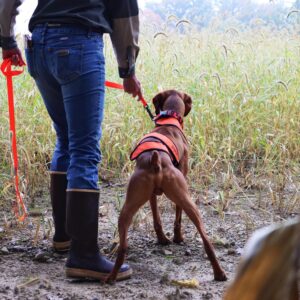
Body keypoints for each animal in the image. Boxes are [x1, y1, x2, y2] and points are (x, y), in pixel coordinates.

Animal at [106, 90, 226, 282]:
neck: (169, 120)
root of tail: (155, 160)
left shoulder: (151, 195)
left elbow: (157, 218)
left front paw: (162, 239)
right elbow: (177, 217)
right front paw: (177, 238)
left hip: (128, 208)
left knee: (123, 246)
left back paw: (111, 277)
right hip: (187, 199)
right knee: (206, 239)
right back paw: (220, 273)